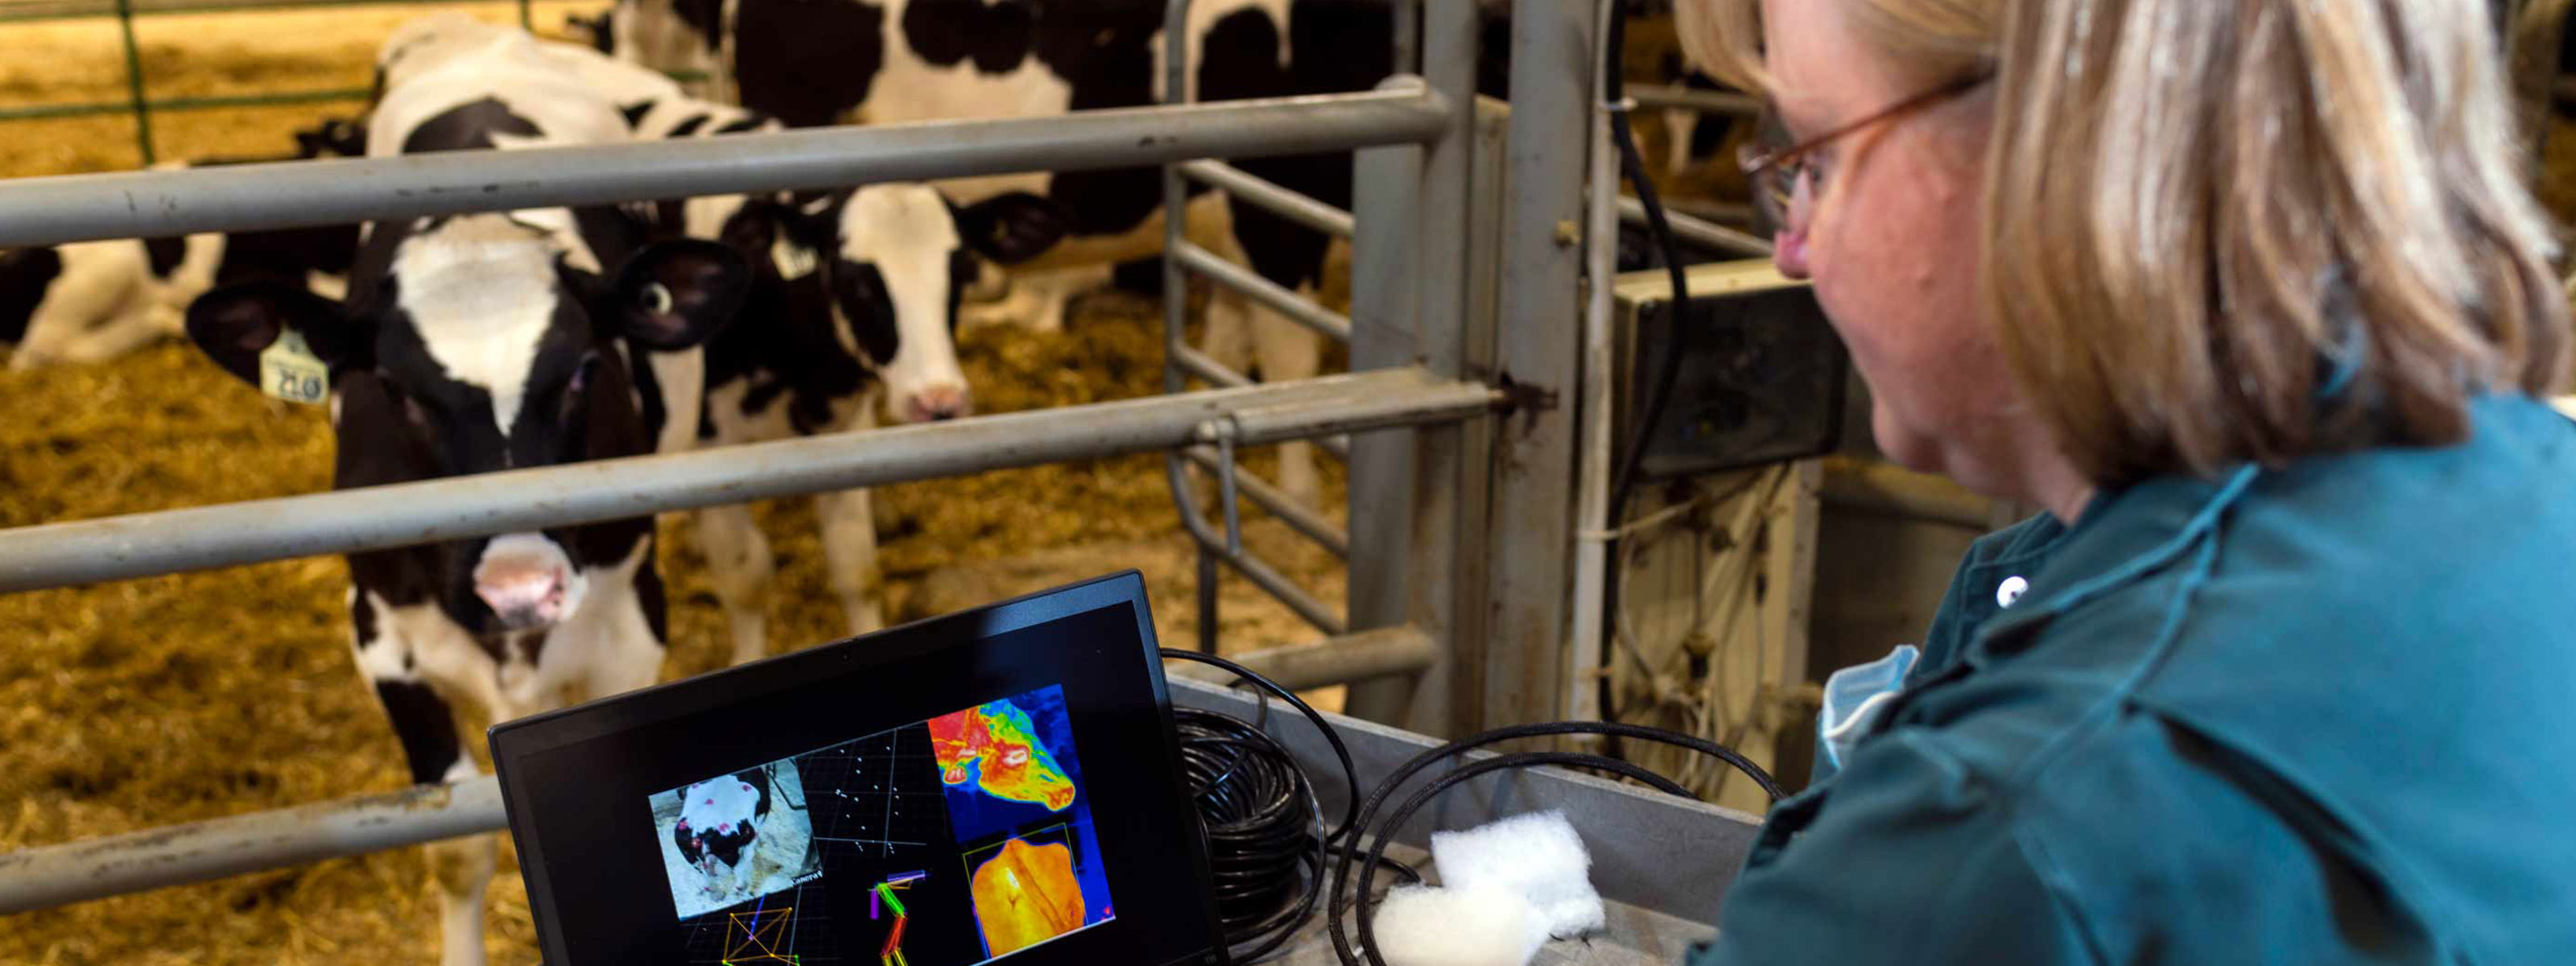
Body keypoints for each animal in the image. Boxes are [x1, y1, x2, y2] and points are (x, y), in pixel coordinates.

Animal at [177, 17, 747, 966]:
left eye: (585, 370)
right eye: (395, 389)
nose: (519, 587)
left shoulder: (632, 623)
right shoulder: (381, 640)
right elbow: (456, 846)